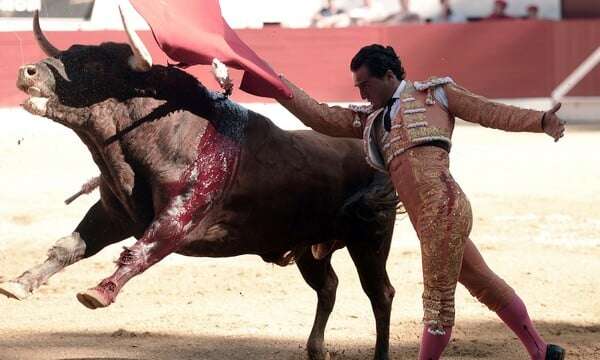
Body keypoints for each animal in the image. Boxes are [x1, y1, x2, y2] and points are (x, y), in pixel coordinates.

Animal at [3, 8, 404, 360]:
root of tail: (370, 148)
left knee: (380, 294)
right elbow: (71, 246)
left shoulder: (179, 217)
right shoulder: (113, 213)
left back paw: (380, 352)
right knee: (328, 287)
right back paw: (316, 349)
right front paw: (18, 283)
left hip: (369, 239)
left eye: (96, 66)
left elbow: (142, 250)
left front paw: (99, 292)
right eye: (68, 53)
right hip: (308, 246)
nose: (27, 71)